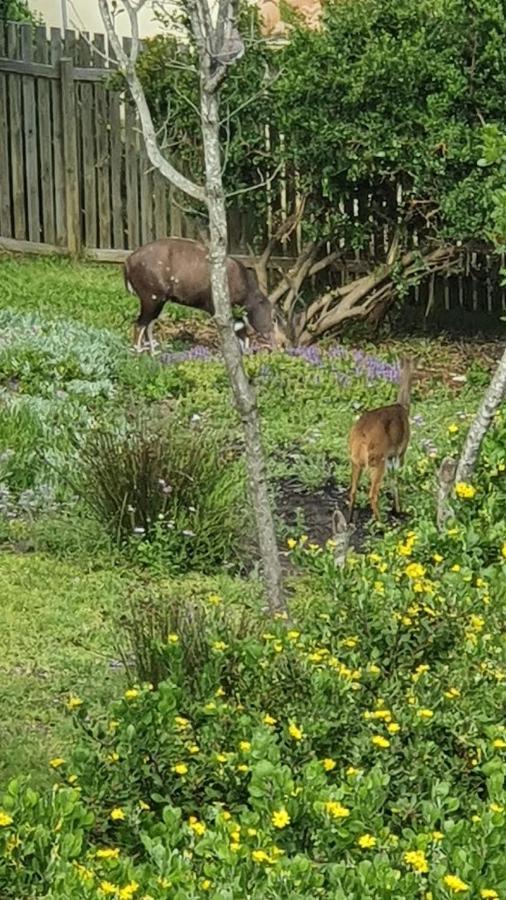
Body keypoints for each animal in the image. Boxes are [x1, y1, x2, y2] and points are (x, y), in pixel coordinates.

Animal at [122, 237, 280, 354]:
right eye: (274, 319)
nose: (276, 344)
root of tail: (128, 262)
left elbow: (242, 333)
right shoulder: (216, 309)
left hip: (157, 301)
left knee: (148, 325)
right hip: (152, 298)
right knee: (139, 325)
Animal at [348, 358, 416, 524]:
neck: (403, 407)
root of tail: (361, 435)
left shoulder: (391, 455)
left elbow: (393, 479)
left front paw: (395, 509)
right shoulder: (401, 451)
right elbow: (398, 478)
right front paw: (398, 509)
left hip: (355, 459)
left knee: (352, 490)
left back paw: (350, 519)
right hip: (377, 459)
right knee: (372, 493)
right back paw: (381, 523)